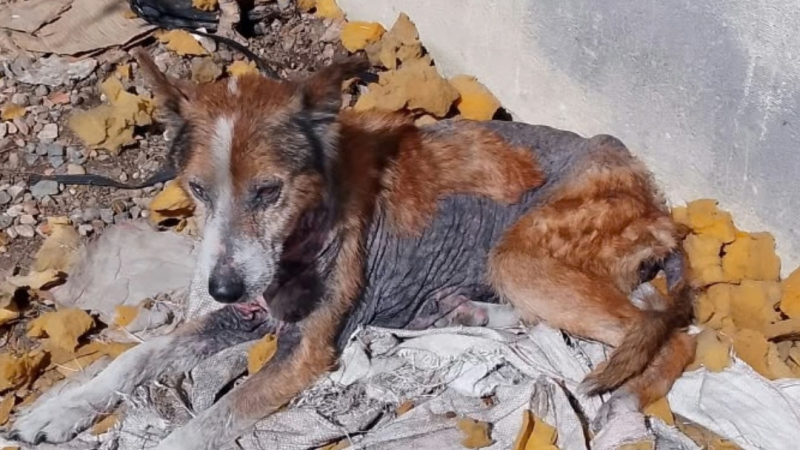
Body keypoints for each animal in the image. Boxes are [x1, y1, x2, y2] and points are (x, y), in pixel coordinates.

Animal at [8, 50, 696, 450]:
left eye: (268, 190)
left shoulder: (304, 352)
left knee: (666, 333)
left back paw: (625, 404)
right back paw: (474, 311)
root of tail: (654, 203)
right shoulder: (243, 315)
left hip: (521, 256)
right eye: (197, 189)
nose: (221, 287)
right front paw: (60, 410)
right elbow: (139, 356)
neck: (308, 222)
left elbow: (203, 425)